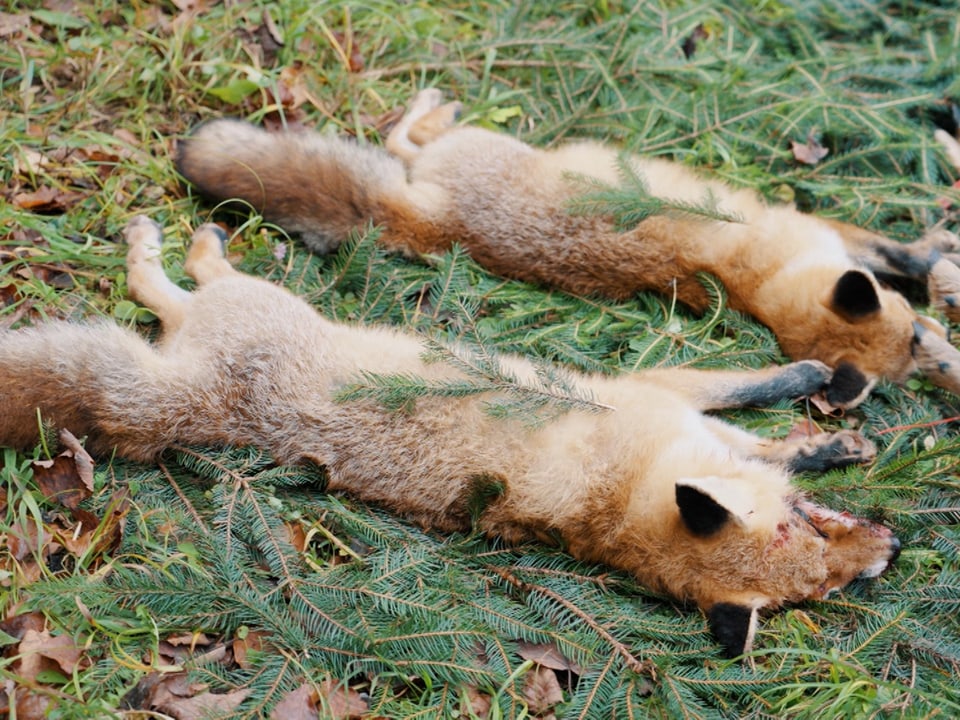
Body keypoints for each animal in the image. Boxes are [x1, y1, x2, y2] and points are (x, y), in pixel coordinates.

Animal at [0, 215, 900, 660]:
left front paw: (832, 445)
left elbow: (766, 443)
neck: (622, 499)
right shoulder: (660, 395)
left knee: (161, 293)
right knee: (169, 277)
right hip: (254, 300)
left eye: (821, 593)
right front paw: (813, 389)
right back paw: (176, 238)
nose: (889, 551)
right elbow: (751, 398)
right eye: (801, 530)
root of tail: (205, 410)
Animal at [174, 89, 960, 404]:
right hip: (485, 146)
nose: (946, 356)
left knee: (402, 149)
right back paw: (431, 105)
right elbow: (891, 252)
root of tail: (446, 230)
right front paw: (933, 252)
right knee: (404, 139)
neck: (765, 285)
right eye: (916, 335)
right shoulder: (810, 227)